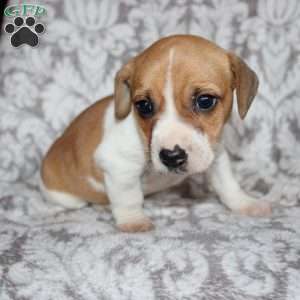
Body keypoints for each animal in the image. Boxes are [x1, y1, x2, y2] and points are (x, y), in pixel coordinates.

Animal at [40, 34, 272, 232]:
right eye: (143, 106)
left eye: (205, 101)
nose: (171, 156)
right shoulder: (120, 167)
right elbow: (129, 197)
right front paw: (133, 220)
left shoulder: (215, 154)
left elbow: (228, 185)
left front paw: (245, 203)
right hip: (70, 198)